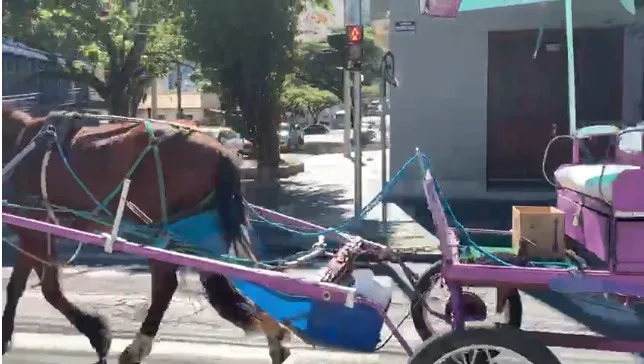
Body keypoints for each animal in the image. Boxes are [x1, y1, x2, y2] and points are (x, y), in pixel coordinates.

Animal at [1, 106, 290, 364]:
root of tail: (221, 151)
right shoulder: (37, 231)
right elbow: (24, 285)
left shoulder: (34, 227)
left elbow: (46, 288)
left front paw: (98, 333)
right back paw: (273, 333)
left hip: (164, 227)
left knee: (166, 285)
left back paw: (138, 347)